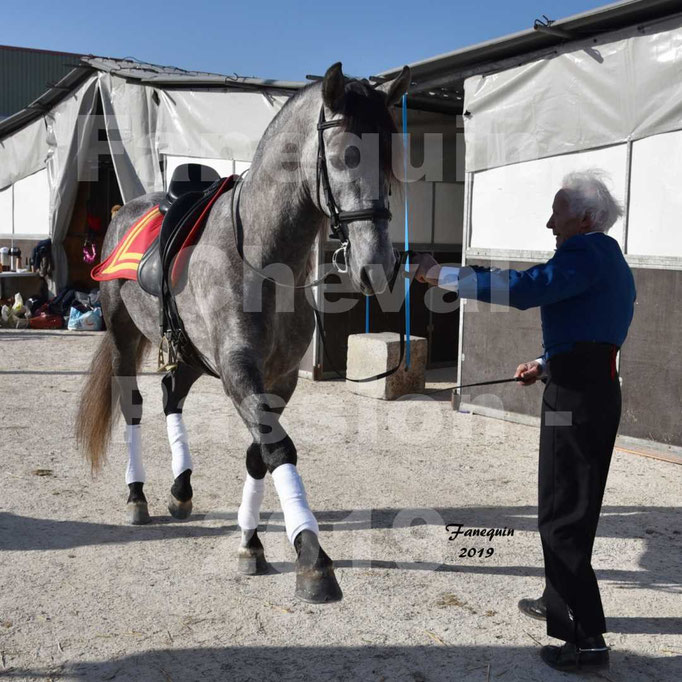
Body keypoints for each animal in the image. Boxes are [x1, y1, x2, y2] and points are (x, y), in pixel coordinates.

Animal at [76, 62, 411, 603]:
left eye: (390, 159)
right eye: (346, 155)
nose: (376, 266)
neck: (261, 255)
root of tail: (123, 212)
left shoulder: (278, 378)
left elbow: (259, 454)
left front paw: (251, 543)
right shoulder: (239, 369)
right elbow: (278, 449)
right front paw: (312, 560)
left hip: (191, 353)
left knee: (172, 395)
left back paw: (181, 491)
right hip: (126, 338)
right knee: (134, 406)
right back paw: (137, 496)